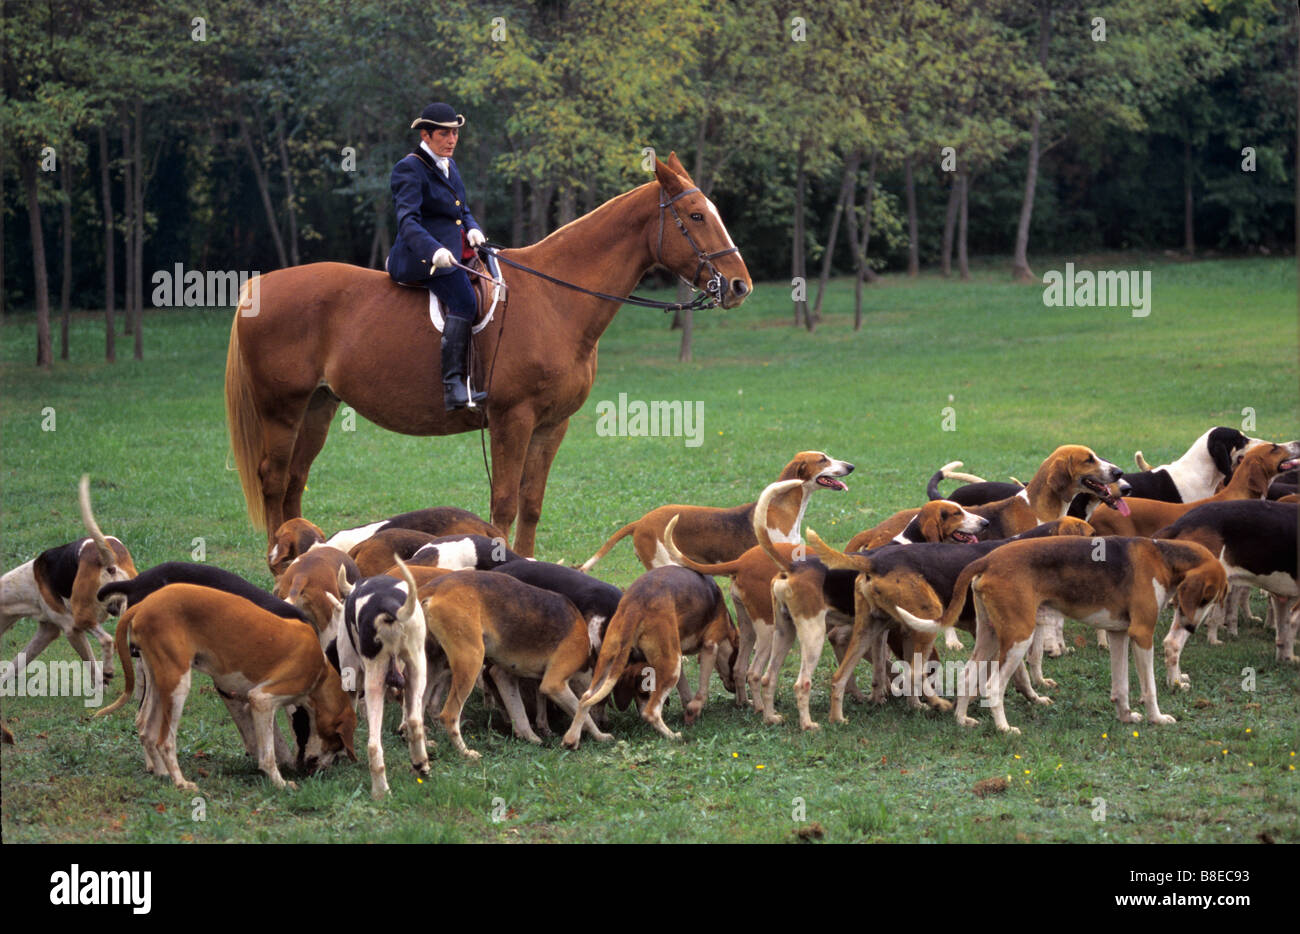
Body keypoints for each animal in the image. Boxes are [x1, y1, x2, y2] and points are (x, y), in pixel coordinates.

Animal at [224, 155, 754, 556]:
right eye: (696, 216)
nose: (739, 285)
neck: (555, 299)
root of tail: (259, 287)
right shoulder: (511, 419)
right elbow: (503, 502)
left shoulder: (551, 424)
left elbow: (532, 502)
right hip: (282, 408)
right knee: (274, 479)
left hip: (318, 405)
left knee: (295, 479)